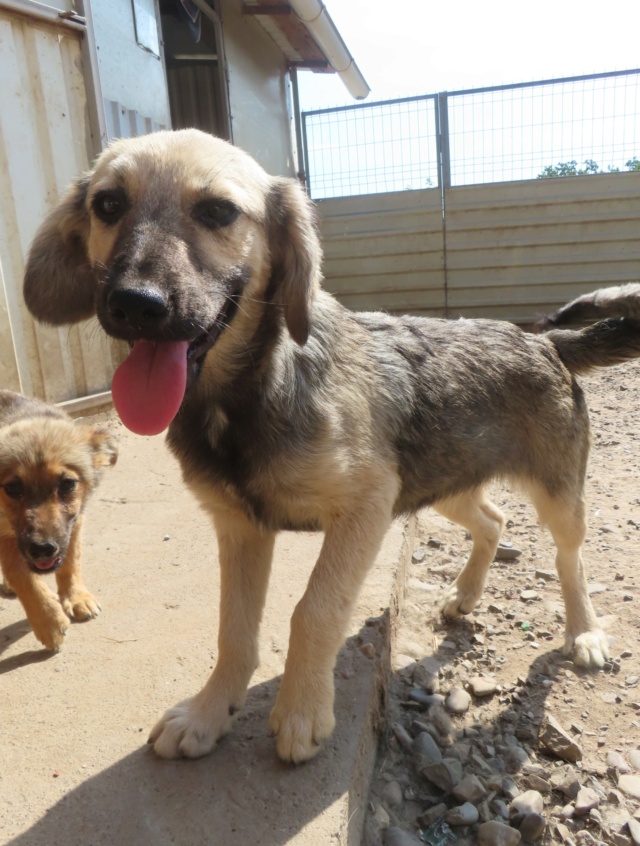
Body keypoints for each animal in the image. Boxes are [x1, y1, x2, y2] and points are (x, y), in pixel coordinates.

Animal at [0, 394, 117, 652]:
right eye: (11, 488)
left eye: (67, 484)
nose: (43, 550)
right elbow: (23, 576)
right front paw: (48, 622)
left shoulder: (75, 522)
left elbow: (71, 562)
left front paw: (75, 597)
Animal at [22, 129, 640, 764]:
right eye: (108, 204)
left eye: (218, 211)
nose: (134, 304)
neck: (249, 395)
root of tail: (546, 341)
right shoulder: (240, 526)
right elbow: (233, 628)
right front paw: (208, 712)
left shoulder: (365, 508)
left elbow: (314, 610)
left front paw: (301, 712)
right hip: (440, 478)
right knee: (492, 520)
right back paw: (466, 595)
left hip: (554, 492)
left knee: (569, 557)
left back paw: (584, 632)